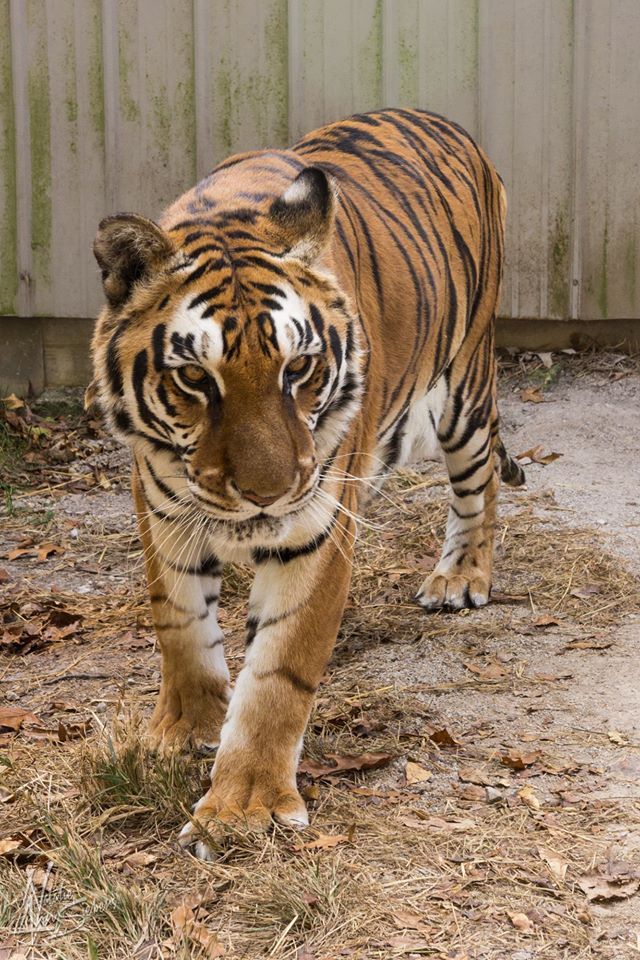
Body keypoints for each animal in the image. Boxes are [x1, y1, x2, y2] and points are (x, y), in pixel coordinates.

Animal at [88, 108, 525, 859]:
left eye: (298, 368)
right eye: (195, 378)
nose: (266, 495)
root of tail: (448, 124)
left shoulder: (316, 526)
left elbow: (279, 671)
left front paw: (245, 807)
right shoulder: (162, 503)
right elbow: (180, 626)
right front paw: (186, 730)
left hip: (464, 387)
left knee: (478, 486)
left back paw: (460, 579)